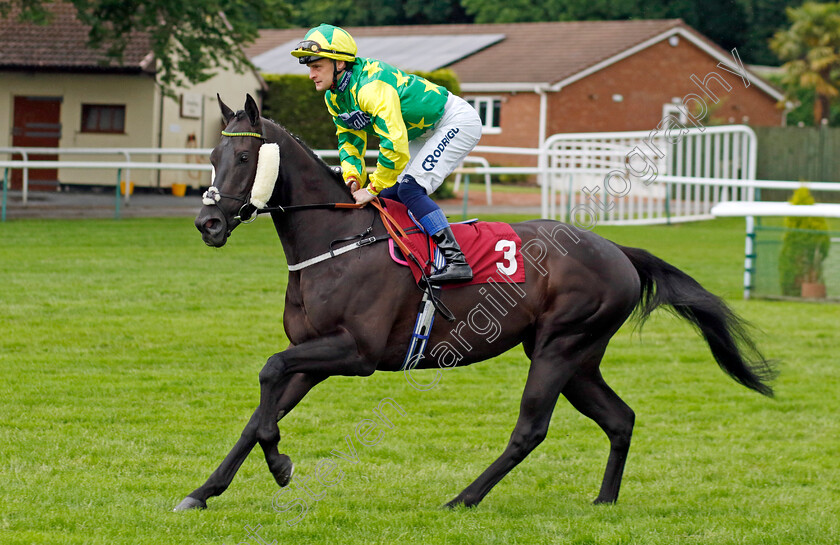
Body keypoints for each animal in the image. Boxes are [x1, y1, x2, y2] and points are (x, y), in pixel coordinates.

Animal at [177, 94, 776, 510]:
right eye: (212, 154)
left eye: (245, 155)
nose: (207, 223)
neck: (335, 240)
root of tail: (617, 250)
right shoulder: (314, 354)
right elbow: (261, 409)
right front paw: (207, 490)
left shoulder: (356, 352)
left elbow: (269, 373)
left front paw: (279, 465)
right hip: (579, 357)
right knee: (620, 418)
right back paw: (605, 501)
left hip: (560, 347)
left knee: (531, 429)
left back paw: (463, 498)